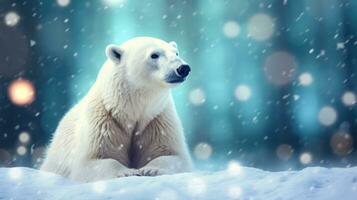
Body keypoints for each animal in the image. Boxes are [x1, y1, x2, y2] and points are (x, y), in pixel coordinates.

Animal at [39, 36, 192, 182]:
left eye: (176, 53)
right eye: (154, 55)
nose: (183, 68)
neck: (130, 109)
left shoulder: (157, 119)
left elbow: (172, 155)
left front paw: (151, 169)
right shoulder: (103, 120)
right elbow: (93, 160)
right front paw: (127, 172)